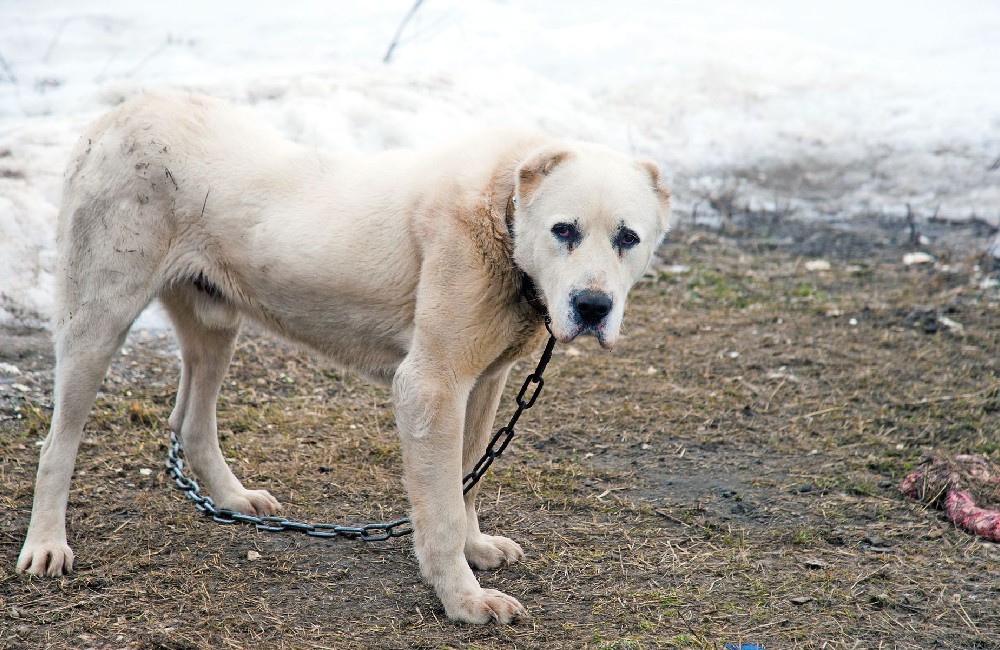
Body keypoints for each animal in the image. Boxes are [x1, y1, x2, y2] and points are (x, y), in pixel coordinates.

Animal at [13, 92, 672, 624]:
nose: (592, 305)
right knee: (57, 444)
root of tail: (119, 113)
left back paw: (233, 500)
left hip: (216, 324)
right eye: (564, 230)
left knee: (192, 424)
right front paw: (462, 599)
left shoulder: (485, 383)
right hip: (97, 322)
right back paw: (46, 544)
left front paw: (477, 549)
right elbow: (442, 509)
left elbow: (469, 480)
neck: (501, 215)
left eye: (628, 238)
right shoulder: (430, 387)